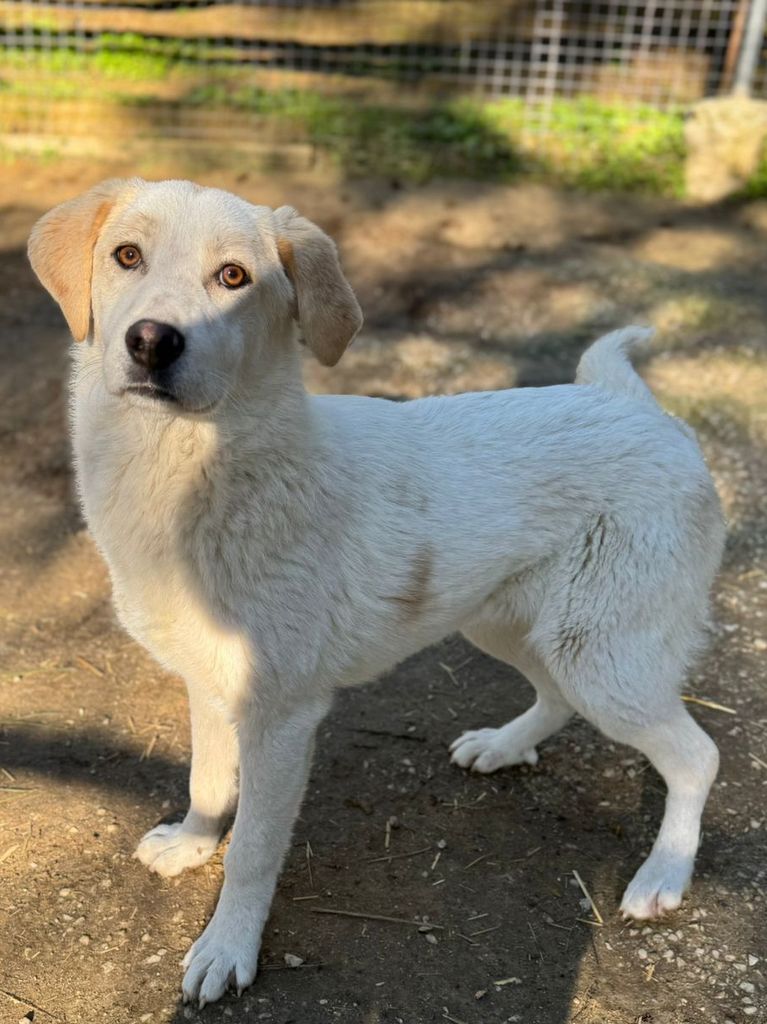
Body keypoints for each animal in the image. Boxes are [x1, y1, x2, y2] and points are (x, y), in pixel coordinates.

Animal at [28, 179, 725, 1007]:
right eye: (126, 255)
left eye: (234, 277)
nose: (151, 342)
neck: (190, 475)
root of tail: (643, 412)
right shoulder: (210, 685)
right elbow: (207, 782)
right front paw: (192, 845)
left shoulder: (282, 717)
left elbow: (253, 849)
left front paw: (227, 948)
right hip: (514, 627)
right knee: (555, 698)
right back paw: (501, 746)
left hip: (604, 656)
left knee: (697, 756)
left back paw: (662, 874)